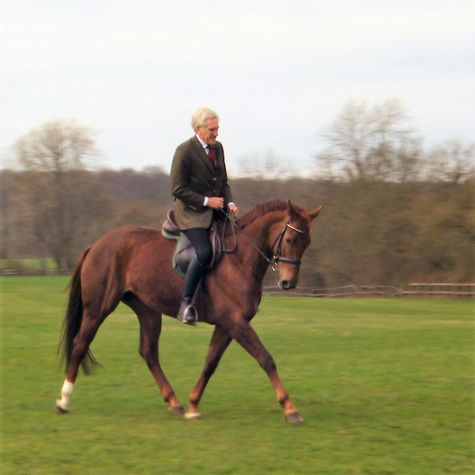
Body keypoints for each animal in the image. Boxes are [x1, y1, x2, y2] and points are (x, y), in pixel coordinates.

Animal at [55, 200, 324, 424]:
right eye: (290, 239)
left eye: (307, 242)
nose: (288, 283)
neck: (239, 259)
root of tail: (97, 244)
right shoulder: (237, 323)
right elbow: (266, 359)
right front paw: (290, 408)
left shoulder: (227, 325)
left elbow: (210, 363)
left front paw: (193, 405)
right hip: (98, 309)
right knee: (80, 344)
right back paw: (64, 400)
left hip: (148, 311)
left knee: (149, 352)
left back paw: (174, 402)